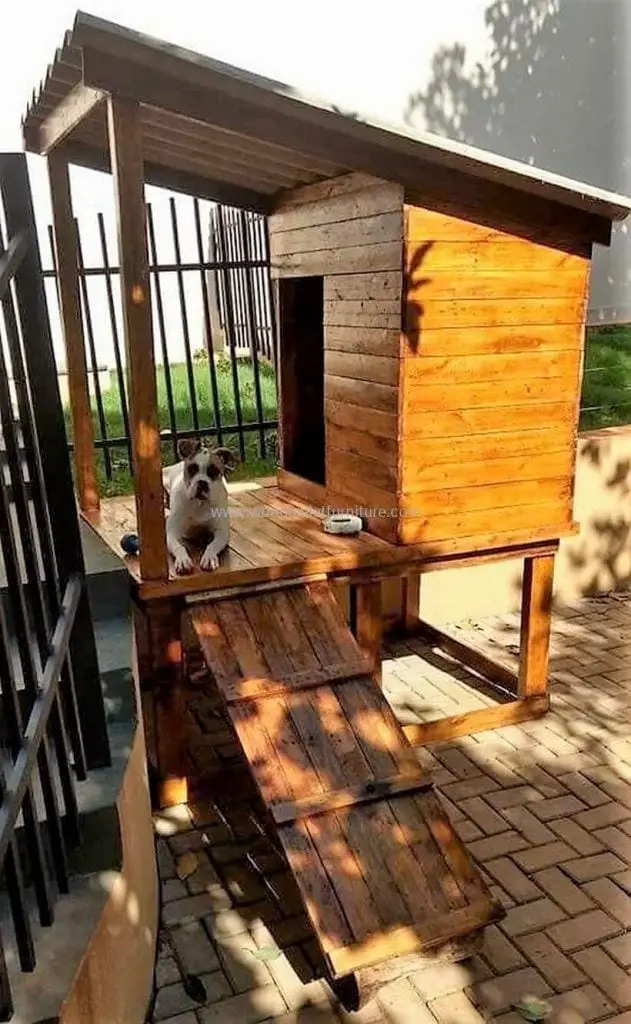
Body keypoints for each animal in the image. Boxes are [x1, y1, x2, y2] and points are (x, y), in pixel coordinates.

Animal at [162, 438, 234, 577]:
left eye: (214, 471)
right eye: (192, 469)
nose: (202, 483)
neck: (199, 504)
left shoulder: (222, 533)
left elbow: (212, 545)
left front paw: (209, 558)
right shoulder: (171, 532)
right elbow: (179, 546)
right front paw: (183, 560)